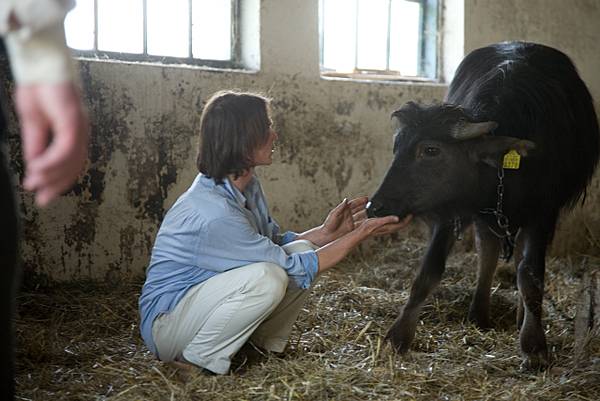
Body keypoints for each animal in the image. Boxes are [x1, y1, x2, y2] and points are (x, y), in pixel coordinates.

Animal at [368, 41, 596, 368]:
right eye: (397, 146)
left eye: (431, 150)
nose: (375, 207)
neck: (504, 169)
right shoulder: (454, 208)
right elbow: (429, 270)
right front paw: (398, 336)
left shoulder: (543, 212)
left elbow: (530, 275)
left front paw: (534, 345)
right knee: (487, 250)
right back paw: (479, 312)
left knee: (520, 259)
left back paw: (520, 317)